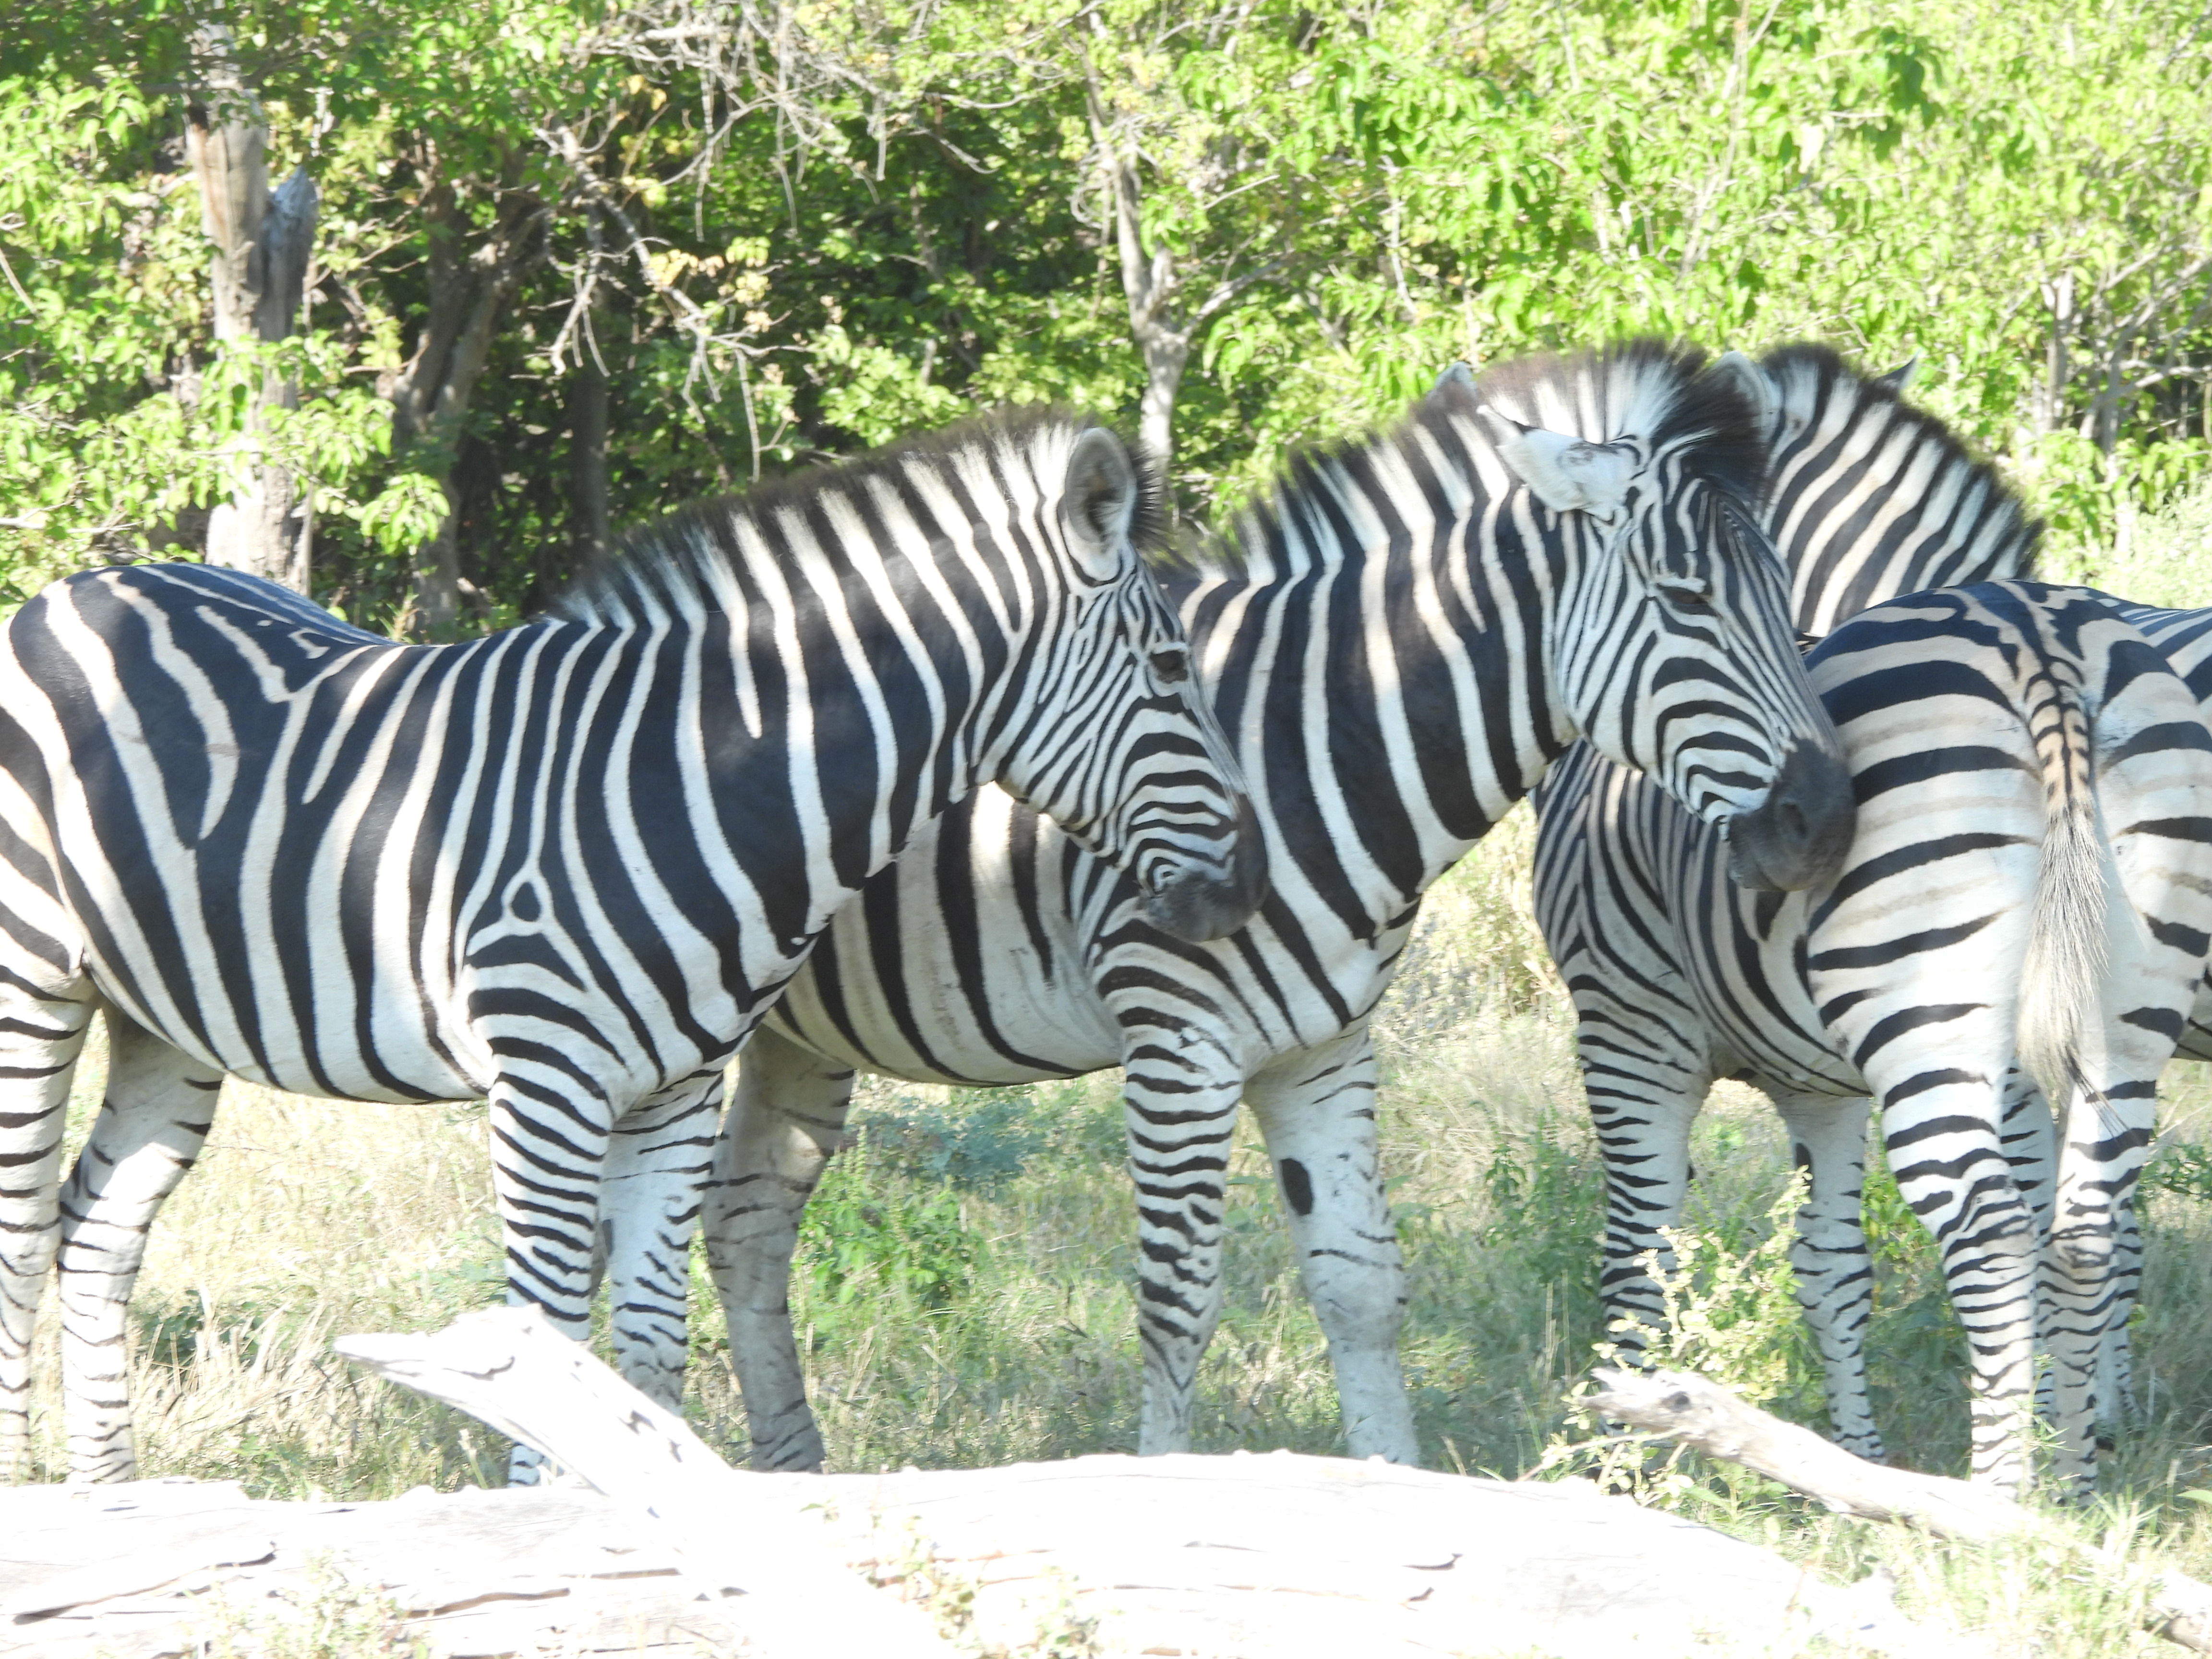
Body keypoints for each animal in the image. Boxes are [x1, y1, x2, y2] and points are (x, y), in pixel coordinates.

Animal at [0, 408, 1270, 1483]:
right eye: (1172, 671)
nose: (1248, 889)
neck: (704, 778)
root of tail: (71, 589)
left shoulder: (678, 1091)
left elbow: (650, 1339)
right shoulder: (548, 1076)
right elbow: (545, 1329)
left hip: (163, 1017)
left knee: (98, 1238)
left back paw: (115, 1512)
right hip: (32, 983)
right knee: (19, 1238)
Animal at [703, 340, 1856, 1472]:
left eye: (1782, 590)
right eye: (1687, 600)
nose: (1825, 824)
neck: (1303, 747)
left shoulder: (1323, 1045)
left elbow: (1361, 1286)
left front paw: (1391, 1484)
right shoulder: (1177, 1038)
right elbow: (1177, 1304)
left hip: (795, 1033)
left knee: (745, 1225)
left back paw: (787, 1473)